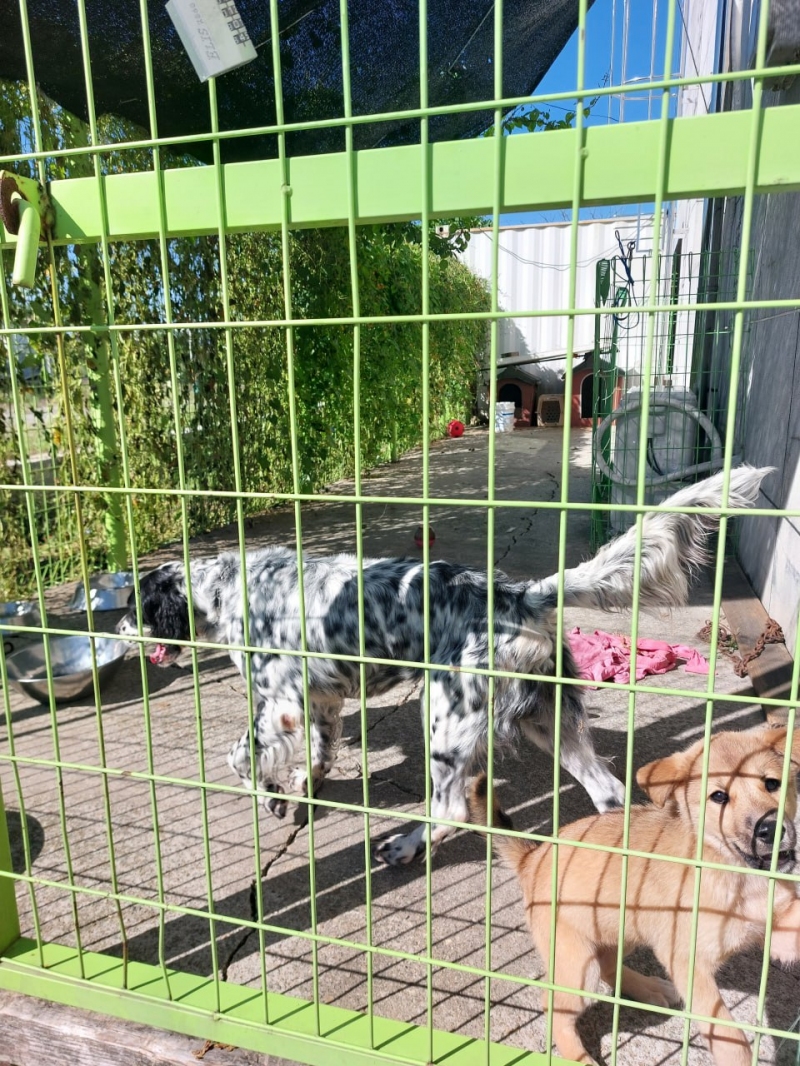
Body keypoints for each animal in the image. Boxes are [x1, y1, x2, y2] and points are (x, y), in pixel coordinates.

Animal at [116, 465, 768, 866]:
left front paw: (272, 797)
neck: (230, 588)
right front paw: (301, 788)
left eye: (133, 606)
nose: (116, 632)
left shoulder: (279, 704)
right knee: (608, 792)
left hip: (447, 718)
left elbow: (238, 757)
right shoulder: (321, 701)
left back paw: (404, 847)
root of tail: (521, 596)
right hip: (547, 719)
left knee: (452, 807)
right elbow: (319, 755)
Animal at [469, 724, 800, 1066]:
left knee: (607, 966)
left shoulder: (778, 925)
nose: (771, 830)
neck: (737, 876)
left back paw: (649, 989)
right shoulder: (688, 964)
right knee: (554, 1006)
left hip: (626, 932)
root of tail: (533, 856)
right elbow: (728, 1036)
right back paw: (578, 1056)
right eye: (719, 796)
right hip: (579, 967)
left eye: (772, 783)